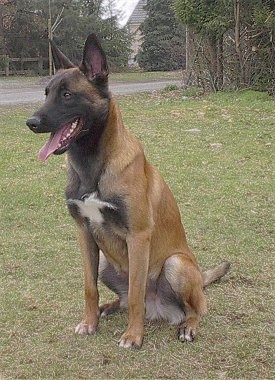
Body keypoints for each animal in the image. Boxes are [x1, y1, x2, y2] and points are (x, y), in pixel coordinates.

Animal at [27, 34, 231, 348]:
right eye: (46, 93)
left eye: (67, 95)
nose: (31, 122)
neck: (94, 167)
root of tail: (159, 309)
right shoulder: (83, 232)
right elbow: (89, 288)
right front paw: (90, 322)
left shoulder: (138, 236)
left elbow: (136, 295)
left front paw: (134, 336)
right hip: (104, 263)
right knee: (122, 299)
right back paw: (106, 309)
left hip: (175, 265)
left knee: (195, 308)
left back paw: (188, 326)